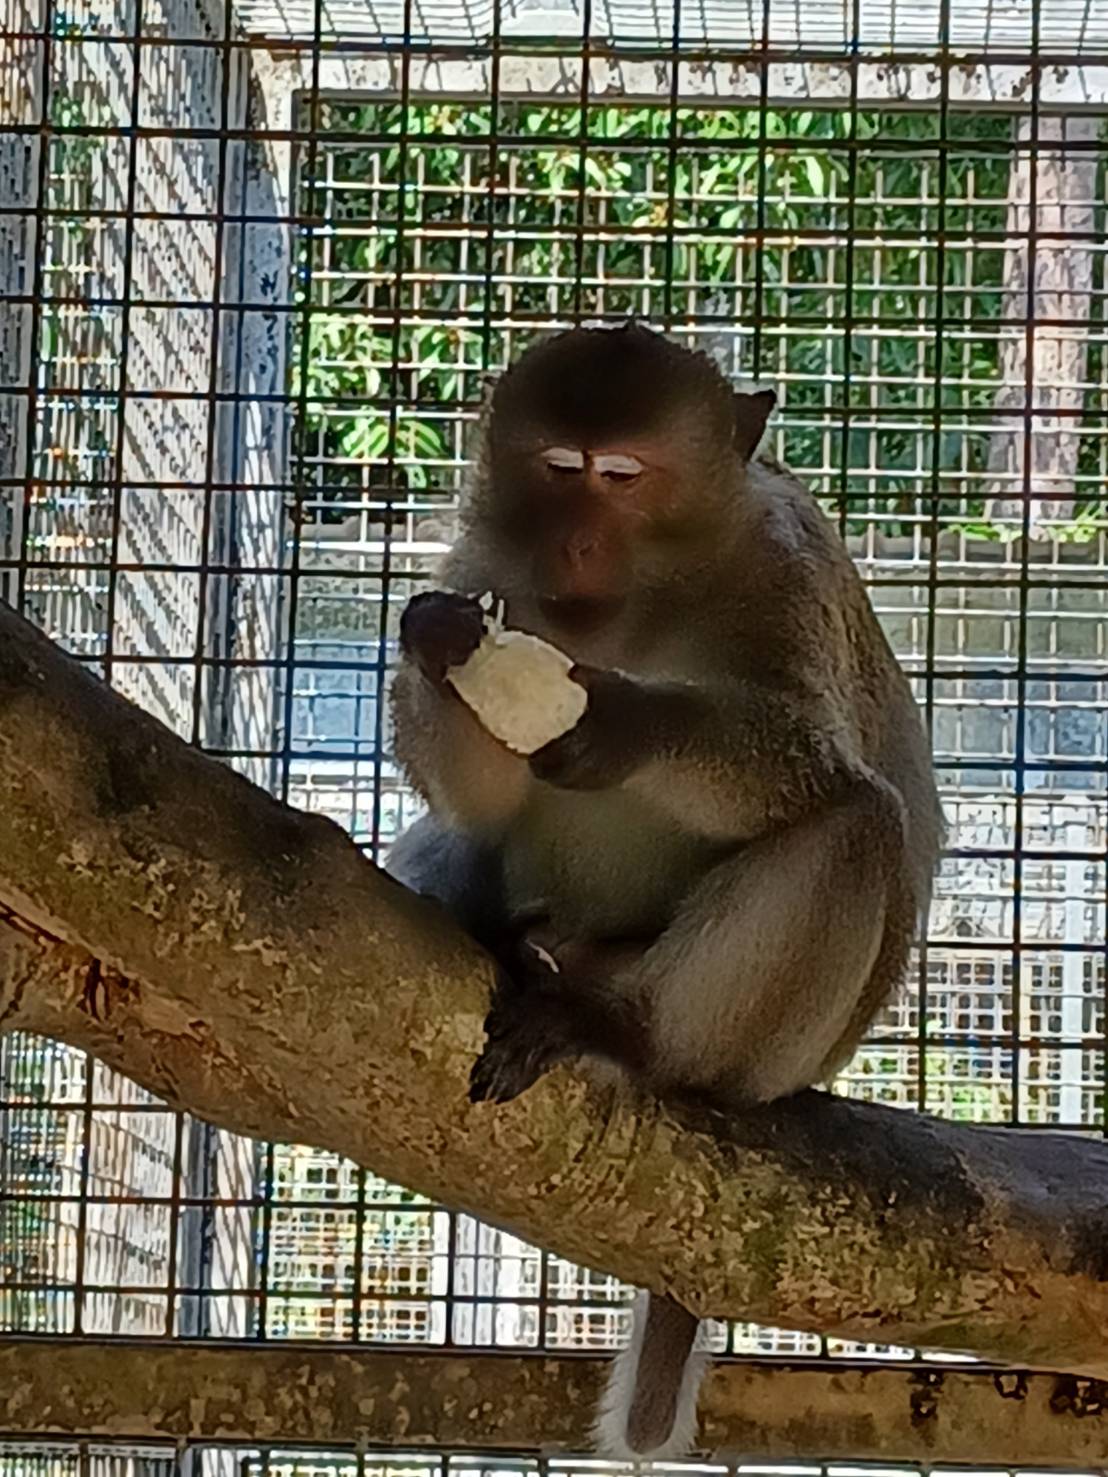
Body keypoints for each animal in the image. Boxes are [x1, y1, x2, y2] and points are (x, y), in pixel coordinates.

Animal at [385, 321, 944, 1461]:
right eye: (559, 469)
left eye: (622, 477)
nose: (575, 546)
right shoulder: (487, 563)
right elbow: (479, 794)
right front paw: (443, 649)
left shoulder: (783, 571)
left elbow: (812, 763)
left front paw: (619, 722)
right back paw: (494, 931)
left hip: (770, 1056)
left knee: (857, 827)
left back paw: (621, 1030)